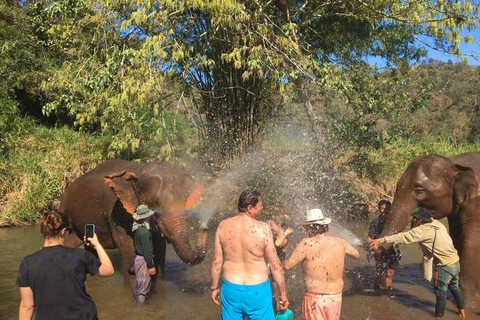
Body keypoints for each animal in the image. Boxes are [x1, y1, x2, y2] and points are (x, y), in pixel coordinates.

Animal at [58, 159, 208, 282]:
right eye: (154, 203)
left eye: (184, 201)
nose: (204, 227)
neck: (138, 170)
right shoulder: (117, 213)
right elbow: (129, 247)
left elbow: (159, 247)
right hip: (65, 213)